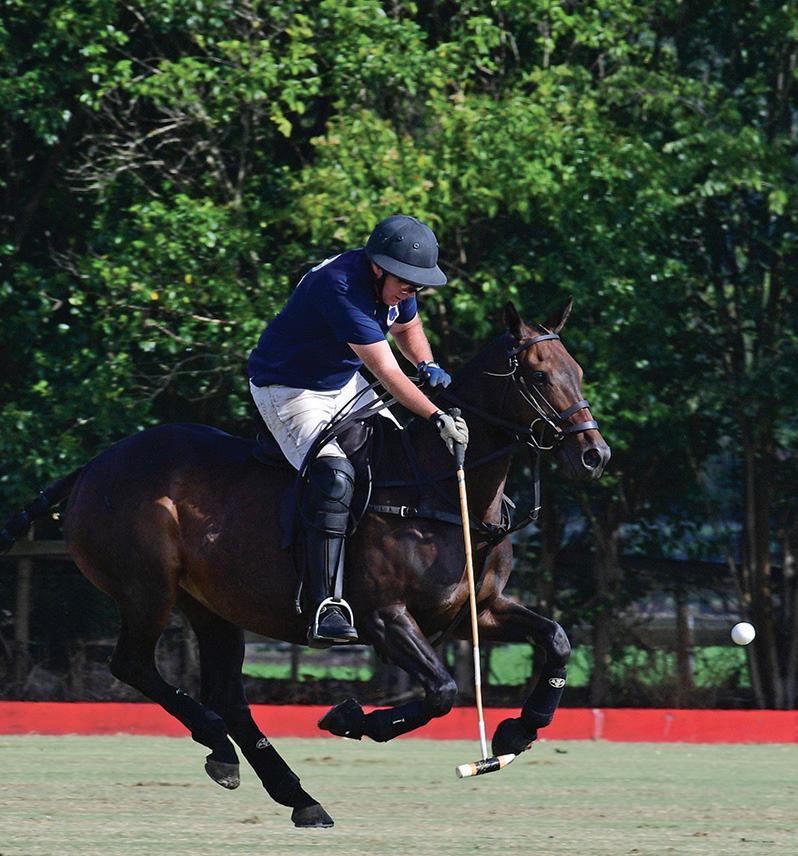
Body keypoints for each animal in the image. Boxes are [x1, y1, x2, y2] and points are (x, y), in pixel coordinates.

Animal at [1, 299, 610, 828]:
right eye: (538, 375)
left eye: (577, 370)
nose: (593, 455)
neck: (444, 488)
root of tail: (91, 467)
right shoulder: (385, 618)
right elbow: (441, 690)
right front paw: (351, 718)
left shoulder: (476, 613)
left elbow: (556, 638)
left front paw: (513, 735)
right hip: (146, 589)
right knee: (134, 666)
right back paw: (221, 744)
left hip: (212, 605)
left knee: (227, 693)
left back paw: (291, 792)